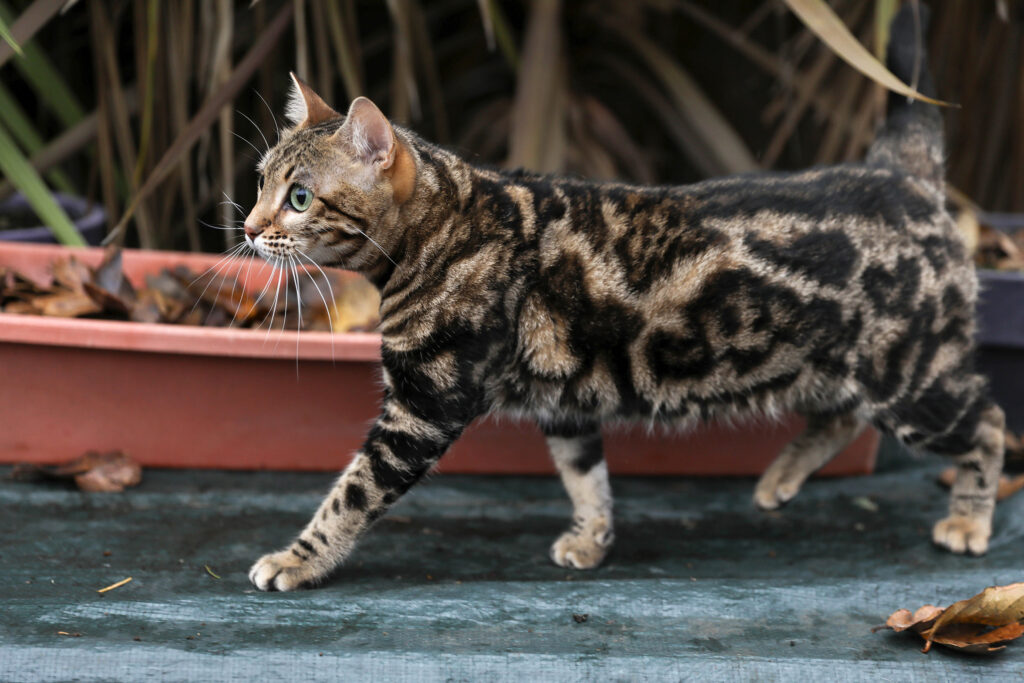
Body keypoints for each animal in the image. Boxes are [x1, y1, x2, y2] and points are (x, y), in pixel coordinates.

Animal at [243, 3, 1003, 593]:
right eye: (259, 181)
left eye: (299, 197)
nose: (247, 228)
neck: (447, 228)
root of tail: (901, 176)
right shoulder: (565, 398)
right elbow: (586, 475)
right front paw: (593, 537)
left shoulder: (425, 404)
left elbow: (352, 492)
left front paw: (296, 558)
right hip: (828, 367)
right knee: (845, 415)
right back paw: (783, 477)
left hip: (911, 377)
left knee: (988, 422)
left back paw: (969, 517)